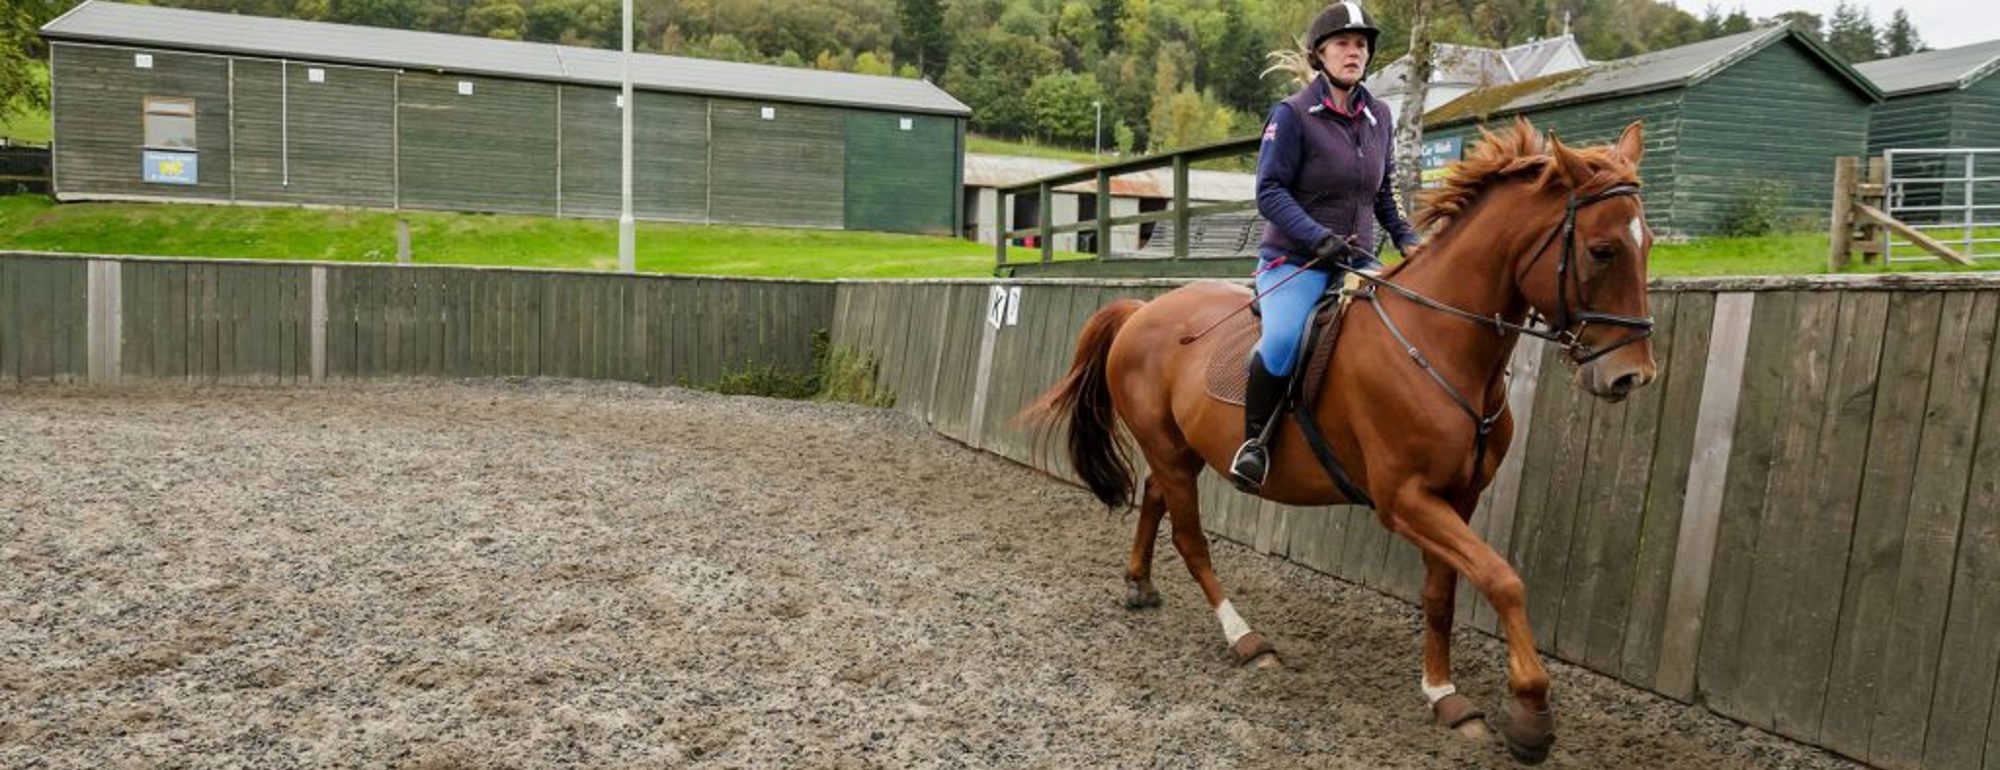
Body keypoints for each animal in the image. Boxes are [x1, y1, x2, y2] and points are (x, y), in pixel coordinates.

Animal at [1020, 118, 1658, 764]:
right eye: (1602, 250)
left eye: (1648, 243)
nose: (1631, 376)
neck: (1440, 341)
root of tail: (1141, 310)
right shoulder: (1405, 500)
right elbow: (1503, 579)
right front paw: (1530, 712)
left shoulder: (1457, 498)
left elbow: (1443, 594)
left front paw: (1443, 693)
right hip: (1173, 452)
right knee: (1190, 538)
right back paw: (1245, 638)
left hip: (1179, 450)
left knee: (1153, 497)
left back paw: (1140, 584)